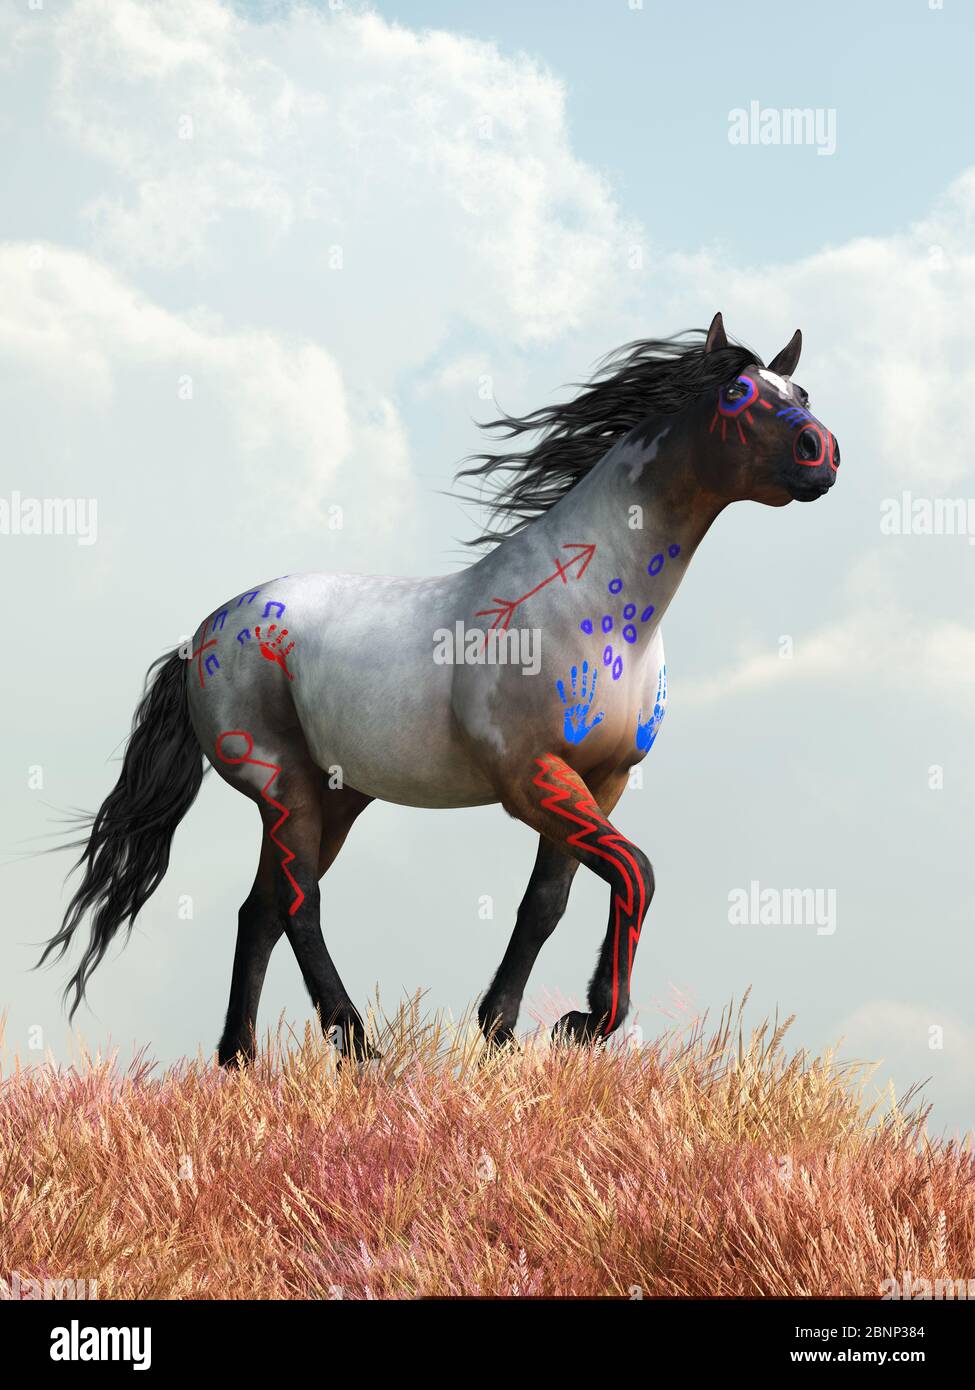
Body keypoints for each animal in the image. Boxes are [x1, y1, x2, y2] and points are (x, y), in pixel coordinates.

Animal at [41, 313, 840, 1063]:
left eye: (800, 392)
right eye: (738, 396)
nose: (822, 454)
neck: (596, 609)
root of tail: (202, 635)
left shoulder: (601, 781)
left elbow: (546, 904)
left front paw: (504, 1031)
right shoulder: (533, 780)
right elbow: (634, 871)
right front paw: (583, 1024)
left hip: (333, 798)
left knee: (259, 911)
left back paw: (240, 1061)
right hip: (284, 788)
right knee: (300, 907)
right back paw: (356, 1046)